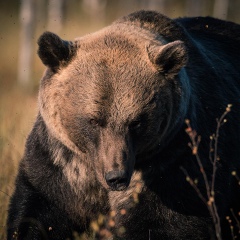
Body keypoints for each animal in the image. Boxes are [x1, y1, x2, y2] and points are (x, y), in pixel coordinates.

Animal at [6, 10, 240, 239]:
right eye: (93, 120)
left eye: (136, 122)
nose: (116, 177)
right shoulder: (62, 163)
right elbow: (38, 211)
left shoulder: (174, 158)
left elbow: (165, 223)